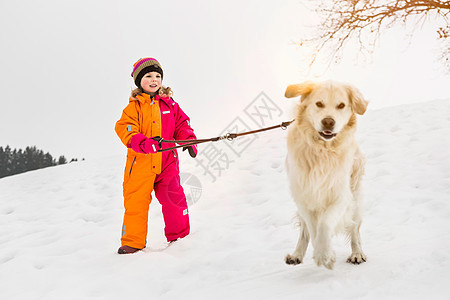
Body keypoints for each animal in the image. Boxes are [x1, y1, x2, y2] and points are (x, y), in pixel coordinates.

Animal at [284, 79, 370, 270]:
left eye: (341, 105)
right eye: (319, 104)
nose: (328, 122)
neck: (322, 150)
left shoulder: (341, 195)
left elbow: (325, 223)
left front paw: (324, 254)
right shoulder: (303, 195)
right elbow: (313, 228)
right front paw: (325, 254)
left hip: (356, 196)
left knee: (355, 229)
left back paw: (357, 254)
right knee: (305, 230)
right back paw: (296, 255)